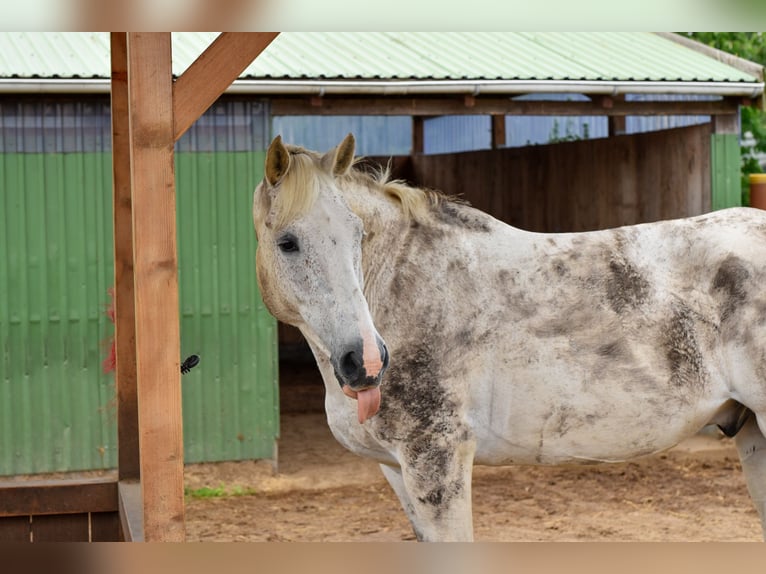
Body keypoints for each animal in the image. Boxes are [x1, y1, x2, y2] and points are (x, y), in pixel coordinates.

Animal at [252, 133, 766, 542]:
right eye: (287, 243)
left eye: (358, 236)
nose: (367, 361)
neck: (398, 287)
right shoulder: (396, 468)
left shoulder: (436, 459)